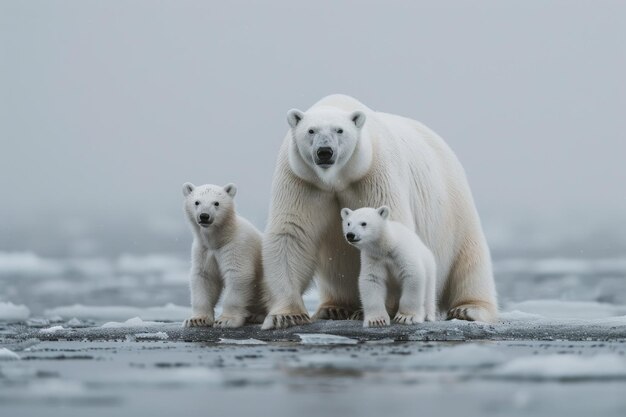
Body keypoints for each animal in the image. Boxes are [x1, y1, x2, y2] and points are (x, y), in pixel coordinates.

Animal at [183, 182, 266, 328]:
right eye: (197, 202)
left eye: (216, 203)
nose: (204, 216)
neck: (221, 239)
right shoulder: (203, 250)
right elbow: (204, 277)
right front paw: (197, 320)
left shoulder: (237, 246)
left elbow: (238, 274)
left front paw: (226, 320)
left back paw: (257, 315)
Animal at [258, 93, 492, 328]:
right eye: (311, 130)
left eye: (339, 130)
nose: (325, 152)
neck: (335, 179)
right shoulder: (301, 180)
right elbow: (291, 233)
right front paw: (286, 316)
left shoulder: (374, 173)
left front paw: (378, 310)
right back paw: (334, 308)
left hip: (455, 208)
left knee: (470, 262)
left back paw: (468, 309)